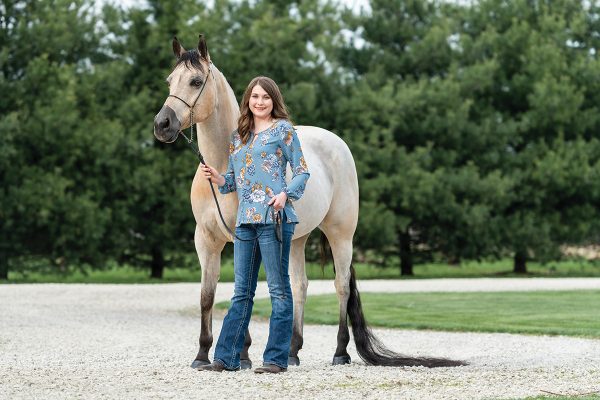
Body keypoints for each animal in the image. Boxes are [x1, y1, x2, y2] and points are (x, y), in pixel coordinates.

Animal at [154, 35, 464, 368]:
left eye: (196, 81)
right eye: (170, 80)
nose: (162, 124)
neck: (224, 166)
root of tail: (336, 143)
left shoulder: (244, 238)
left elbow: (243, 289)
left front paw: (243, 354)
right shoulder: (206, 240)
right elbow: (207, 295)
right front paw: (202, 354)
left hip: (341, 234)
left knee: (341, 286)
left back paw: (340, 352)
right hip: (295, 238)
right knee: (300, 286)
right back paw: (292, 351)